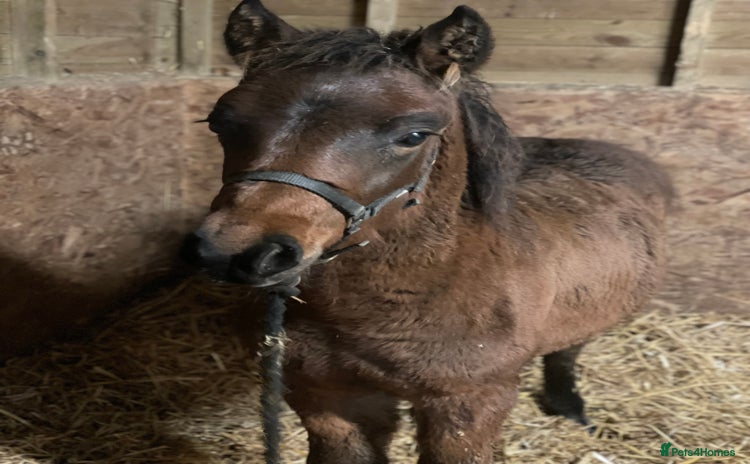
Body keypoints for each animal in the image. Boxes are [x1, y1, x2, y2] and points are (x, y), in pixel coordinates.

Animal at [181, 1, 674, 462]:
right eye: (220, 122)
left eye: (414, 135)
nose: (237, 252)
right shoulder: (325, 397)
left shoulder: (469, 408)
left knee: (568, 350)